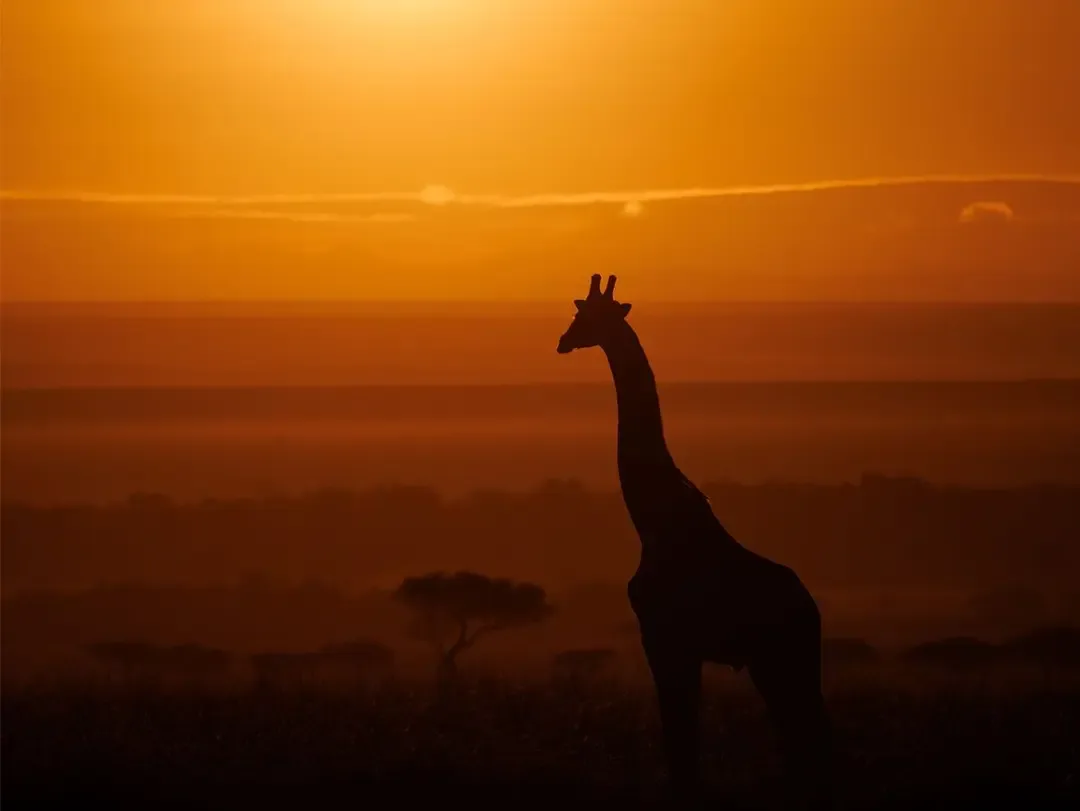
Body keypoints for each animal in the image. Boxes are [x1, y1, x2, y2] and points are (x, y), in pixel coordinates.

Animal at [557, 274, 833, 808]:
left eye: (586, 317)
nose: (563, 341)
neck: (653, 521)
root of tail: (811, 610)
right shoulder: (677, 645)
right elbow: (683, 741)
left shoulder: (665, 638)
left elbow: (680, 741)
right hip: (776, 663)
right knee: (799, 740)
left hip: (782, 658)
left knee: (807, 738)